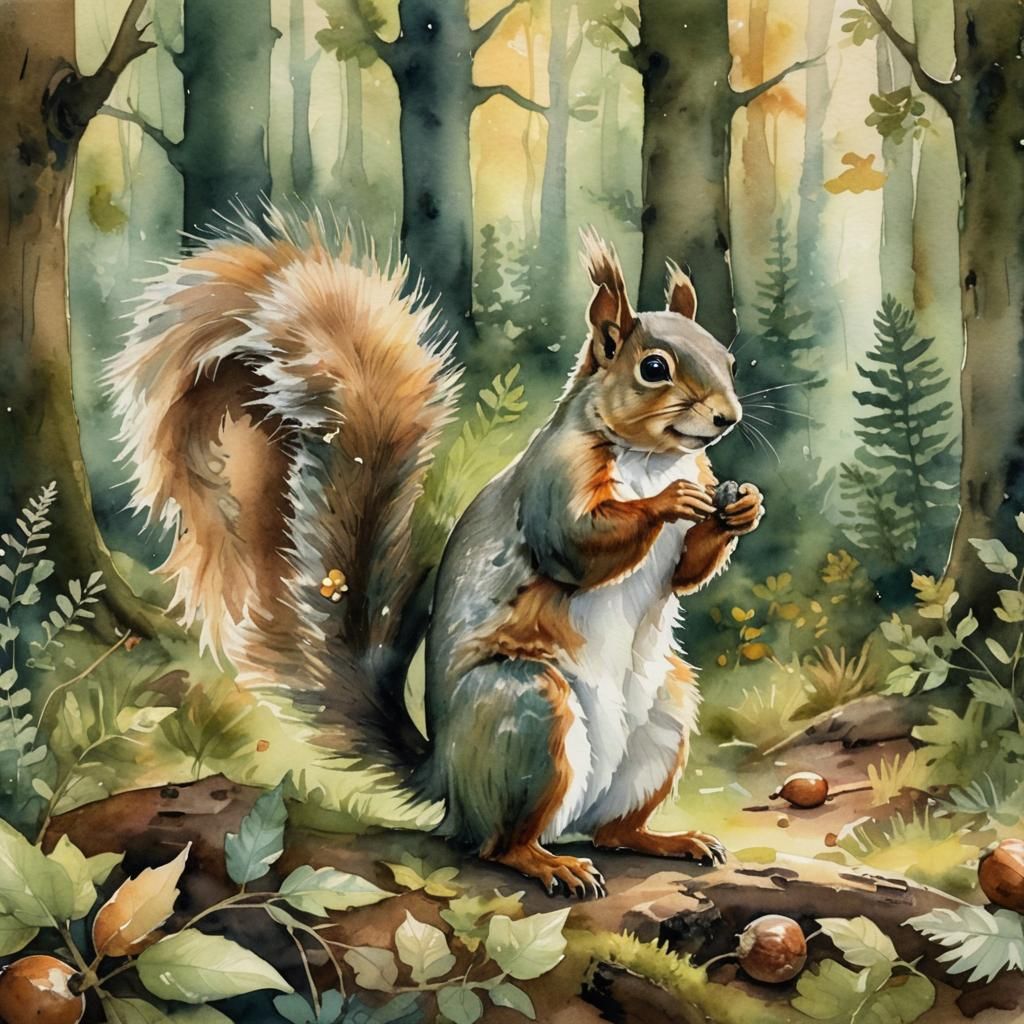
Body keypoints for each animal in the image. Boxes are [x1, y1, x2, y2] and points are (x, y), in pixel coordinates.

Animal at [108, 208, 764, 899]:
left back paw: (666, 839)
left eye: (727, 358)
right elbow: (574, 548)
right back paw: (547, 862)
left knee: (613, 830)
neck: (650, 459)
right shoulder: (554, 481)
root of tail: (446, 780)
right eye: (654, 368)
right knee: (497, 843)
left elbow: (686, 574)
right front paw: (672, 502)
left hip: (664, 714)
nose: (726, 417)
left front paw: (743, 506)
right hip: (527, 711)